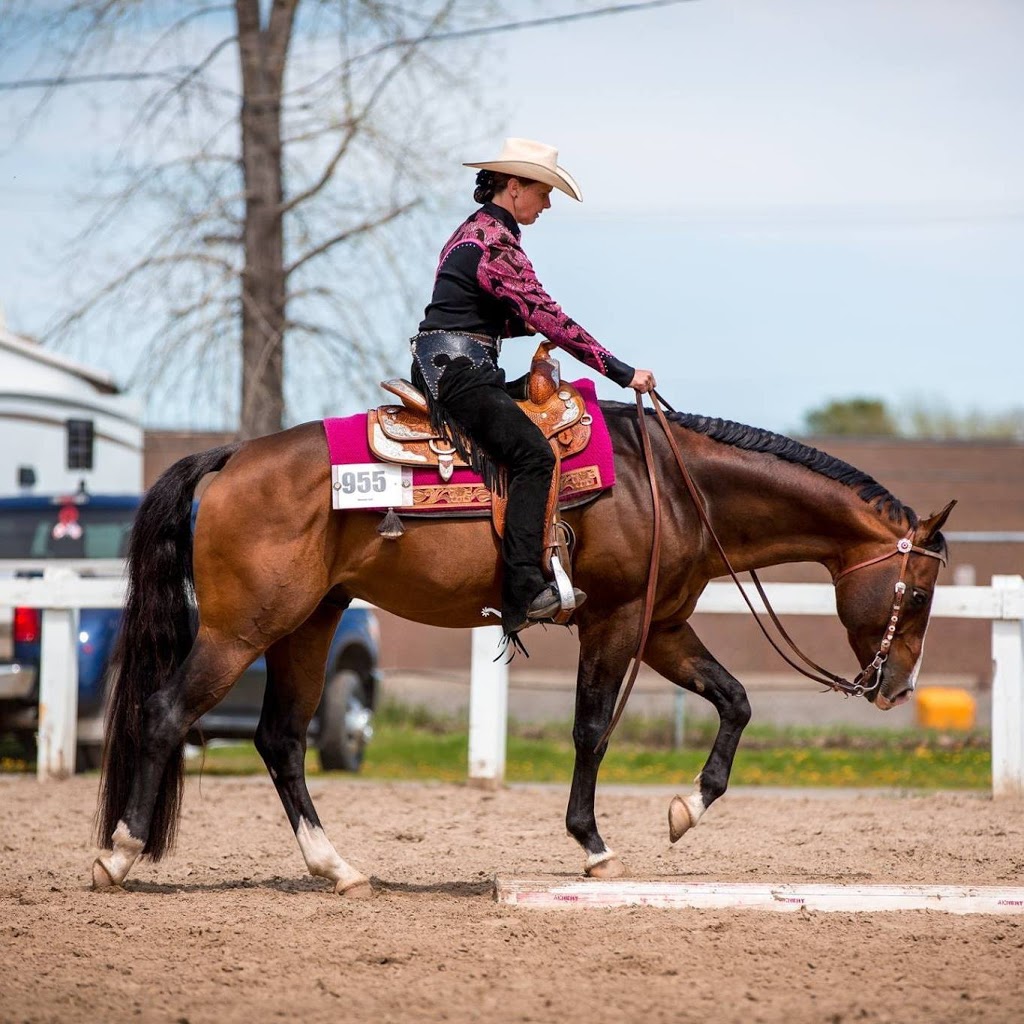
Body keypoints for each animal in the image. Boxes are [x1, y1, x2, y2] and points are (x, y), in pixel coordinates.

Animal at [92, 399, 954, 897]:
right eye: (917, 594)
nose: (895, 687)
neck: (675, 487)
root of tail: (231, 457)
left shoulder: (662, 626)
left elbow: (735, 700)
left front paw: (685, 809)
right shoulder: (614, 622)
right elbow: (592, 731)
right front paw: (594, 846)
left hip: (309, 623)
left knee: (279, 739)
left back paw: (337, 869)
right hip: (242, 631)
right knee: (166, 714)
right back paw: (120, 855)